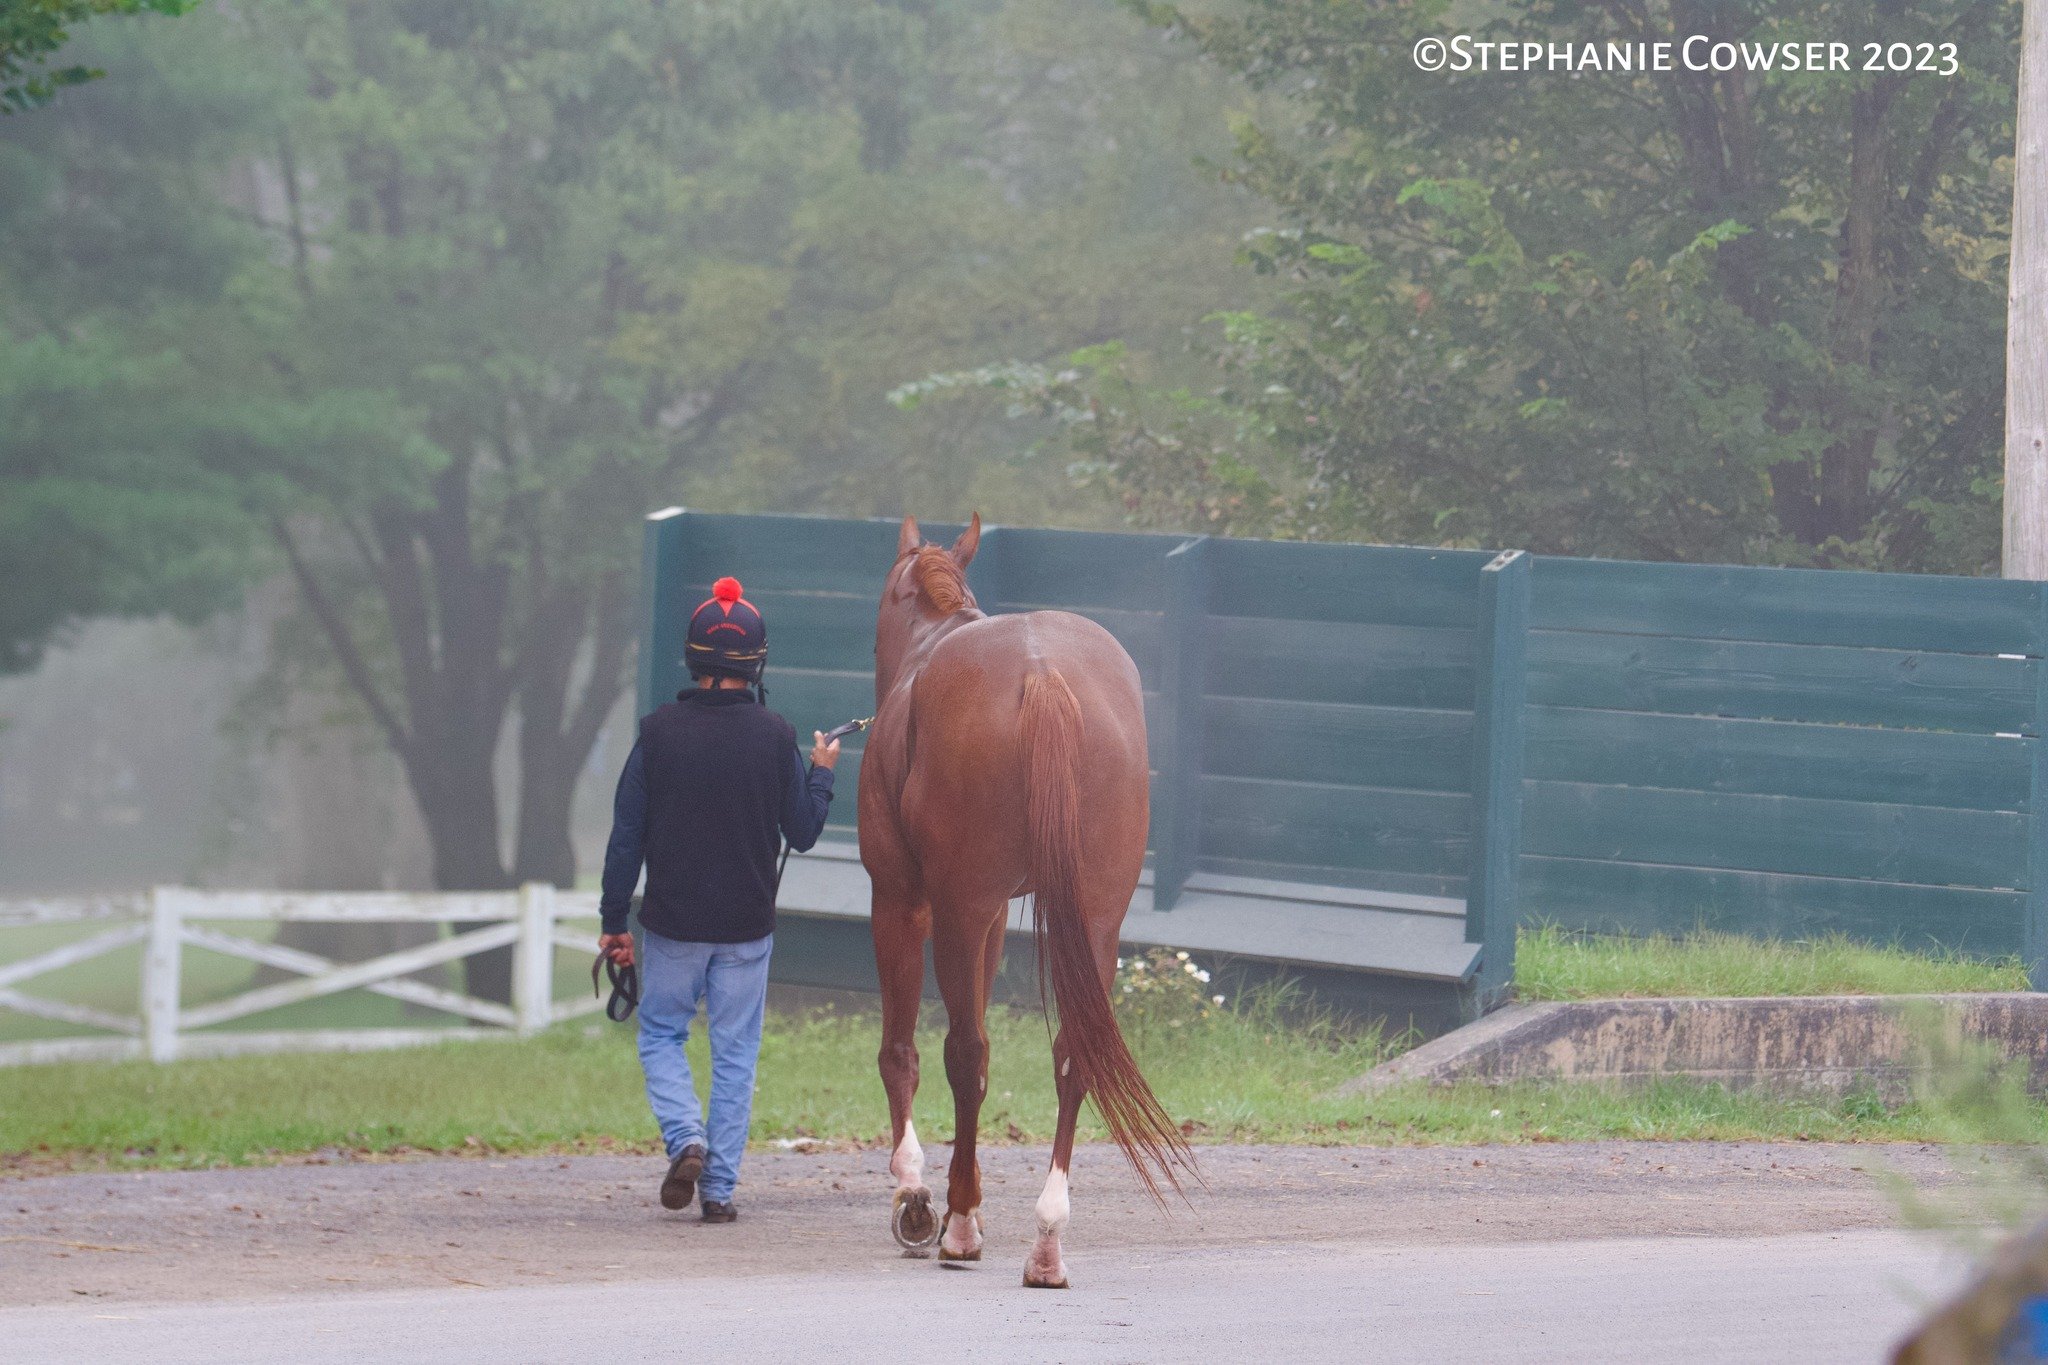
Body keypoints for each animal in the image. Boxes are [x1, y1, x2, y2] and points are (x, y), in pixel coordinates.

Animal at [856, 515, 1196, 1293]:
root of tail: (1041, 672)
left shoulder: (905, 901)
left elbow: (902, 1051)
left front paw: (916, 1194)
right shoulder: (986, 923)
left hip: (955, 909)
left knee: (964, 1051)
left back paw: (955, 1227)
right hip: (1093, 918)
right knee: (1072, 1055)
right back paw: (1046, 1238)